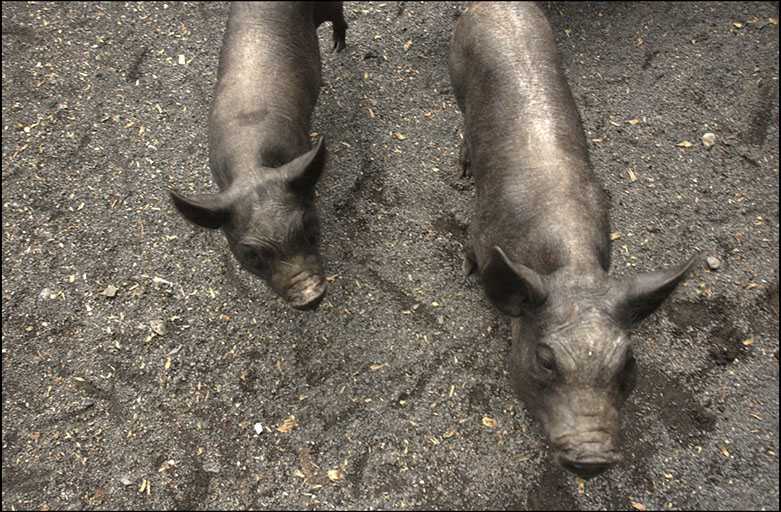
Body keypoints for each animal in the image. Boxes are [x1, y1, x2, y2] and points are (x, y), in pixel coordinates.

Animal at [449, 2, 697, 478]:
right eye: (545, 361)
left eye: (628, 363)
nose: (593, 457)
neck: (570, 263)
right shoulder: (480, 229)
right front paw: (467, 269)